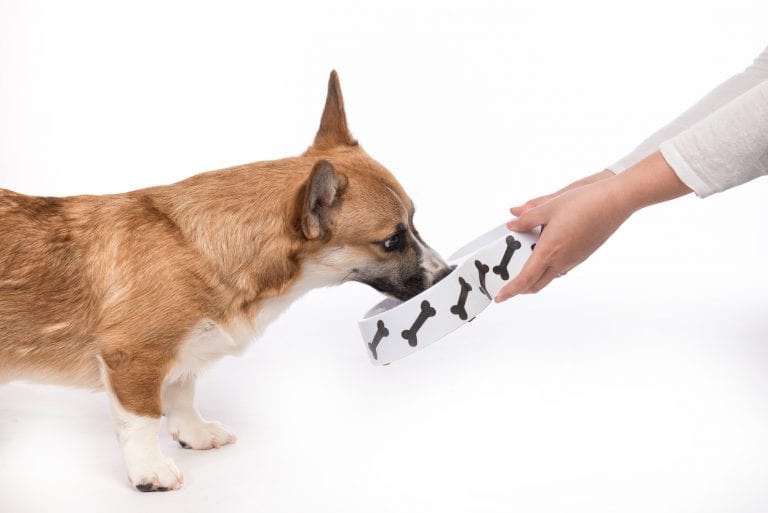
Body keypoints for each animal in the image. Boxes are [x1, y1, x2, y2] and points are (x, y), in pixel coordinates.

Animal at [0, 70, 452, 490]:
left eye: (414, 221)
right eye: (391, 240)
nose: (446, 273)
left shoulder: (181, 357)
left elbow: (182, 393)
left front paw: (194, 434)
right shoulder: (133, 359)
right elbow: (143, 420)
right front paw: (150, 472)